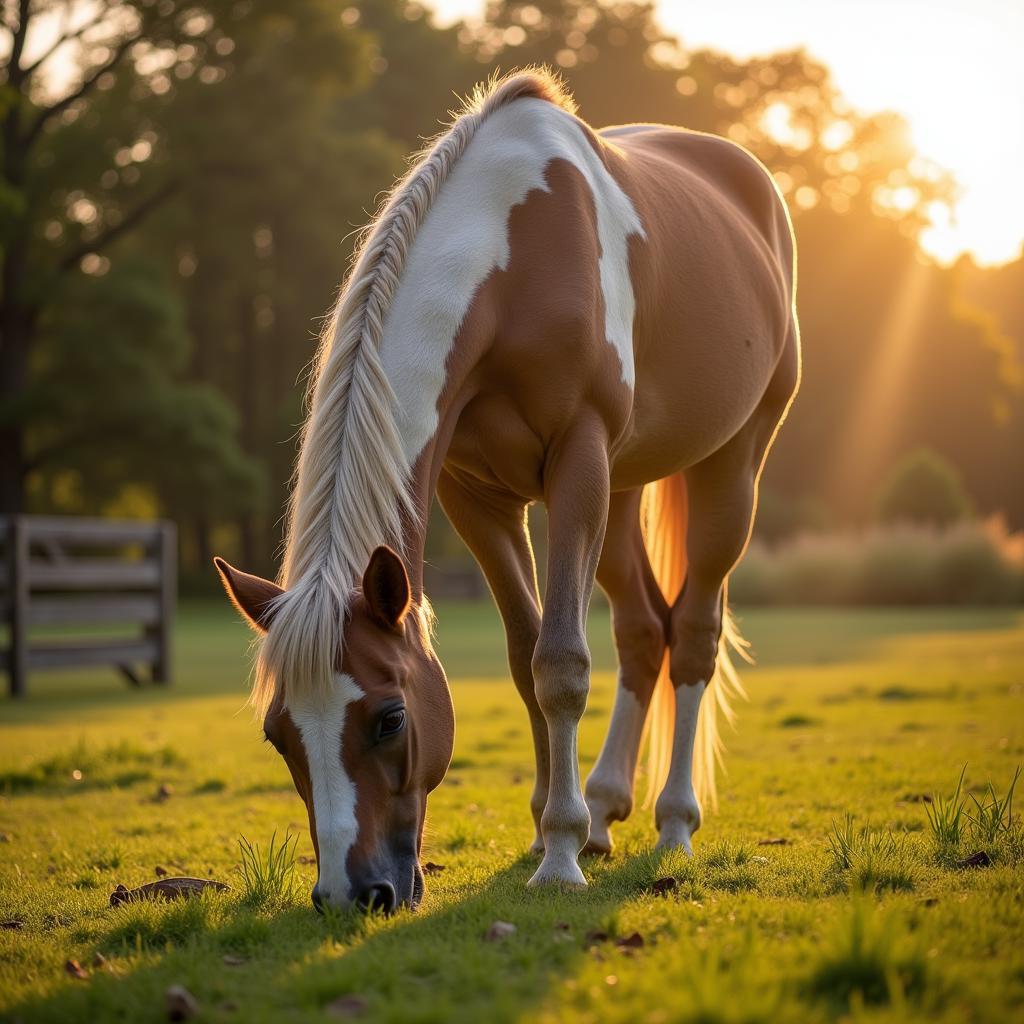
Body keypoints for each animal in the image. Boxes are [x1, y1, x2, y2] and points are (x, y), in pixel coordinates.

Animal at [216, 68, 798, 913]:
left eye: (389, 718)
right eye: (278, 733)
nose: (351, 894)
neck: (512, 260)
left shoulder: (578, 462)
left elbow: (561, 664)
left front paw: (558, 855)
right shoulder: (478, 498)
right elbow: (526, 663)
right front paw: (553, 830)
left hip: (731, 465)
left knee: (693, 633)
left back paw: (673, 822)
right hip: (622, 495)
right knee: (642, 630)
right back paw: (606, 808)